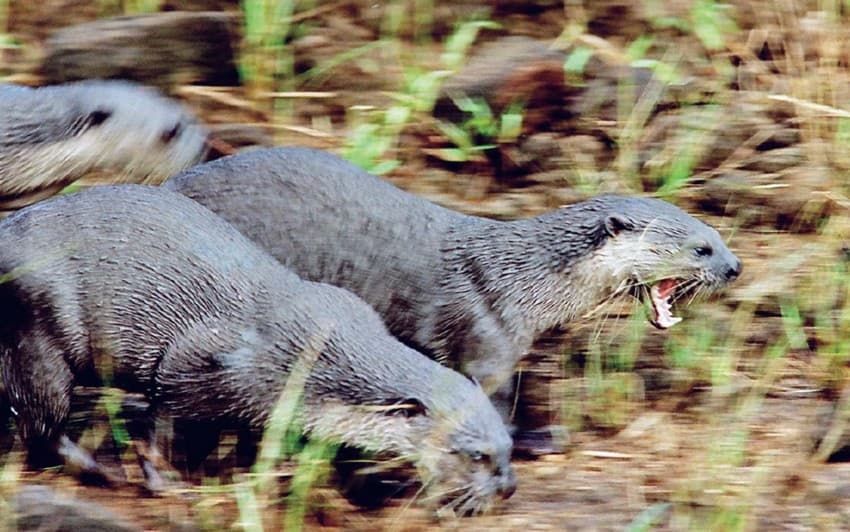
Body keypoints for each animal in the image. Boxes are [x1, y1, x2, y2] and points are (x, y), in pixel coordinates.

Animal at [0, 184, 512, 516]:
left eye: (506, 446)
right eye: (476, 455)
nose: (508, 487)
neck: (312, 355)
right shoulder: (199, 364)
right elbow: (162, 424)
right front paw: (164, 481)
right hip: (37, 326)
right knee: (40, 422)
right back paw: (104, 471)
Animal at [167, 147, 744, 436]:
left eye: (718, 236)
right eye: (700, 249)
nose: (735, 267)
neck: (524, 279)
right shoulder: (485, 333)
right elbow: (488, 395)